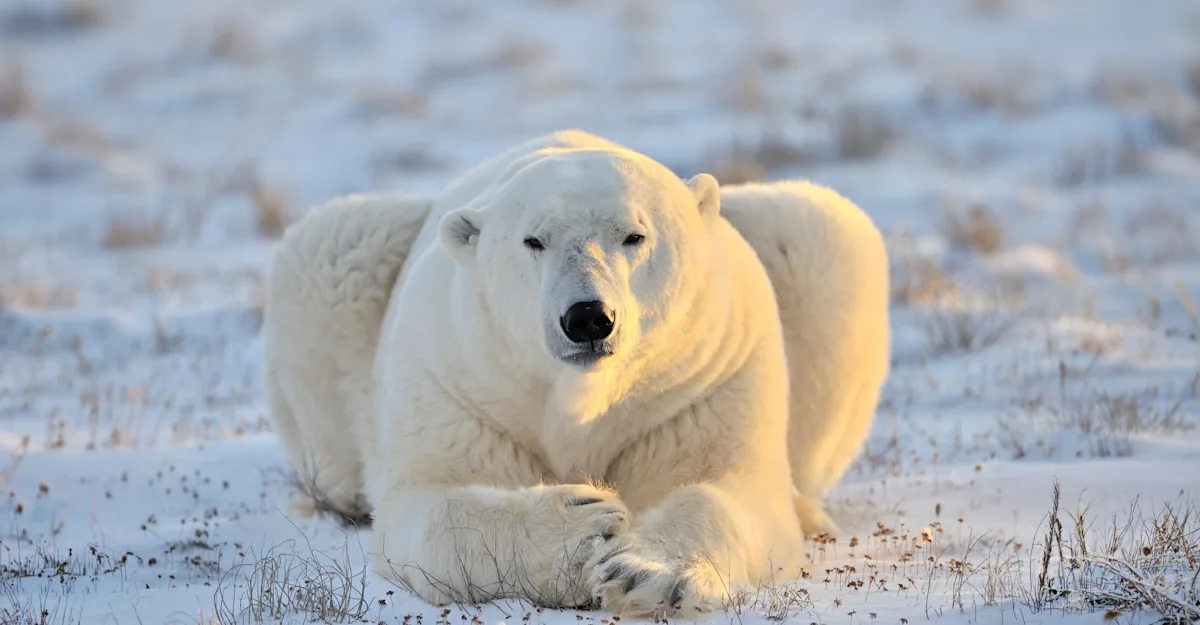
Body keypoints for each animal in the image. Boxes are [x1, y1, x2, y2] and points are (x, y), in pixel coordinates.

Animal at [262, 130, 890, 617]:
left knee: (820, 230)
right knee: (332, 247)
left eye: (634, 235)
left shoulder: (706, 380)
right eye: (533, 240)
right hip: (344, 271)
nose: (588, 317)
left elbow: (728, 487)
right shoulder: (456, 380)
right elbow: (430, 503)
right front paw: (582, 528)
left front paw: (645, 573)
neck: (583, 400)